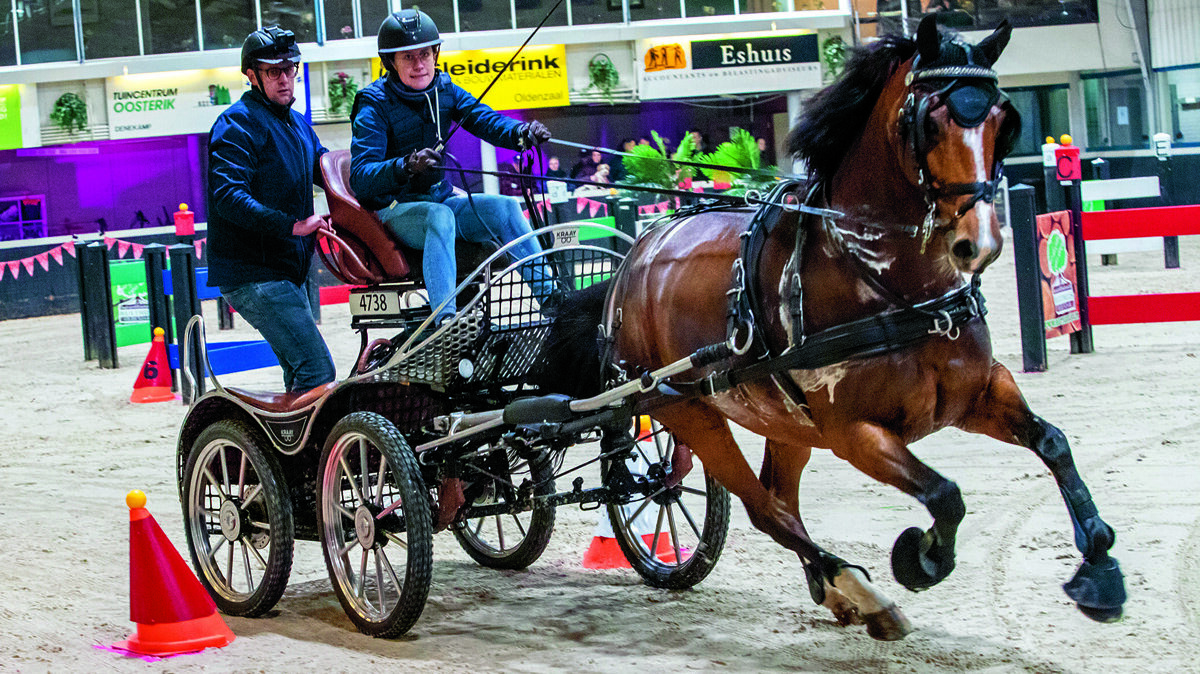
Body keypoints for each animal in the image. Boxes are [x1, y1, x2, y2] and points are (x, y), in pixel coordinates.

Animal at [542, 16, 1126, 640]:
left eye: (1001, 118)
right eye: (930, 120)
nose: (981, 243)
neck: (887, 284)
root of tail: (636, 254)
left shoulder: (979, 392)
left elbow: (1054, 443)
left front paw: (1100, 569)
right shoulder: (854, 433)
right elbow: (946, 496)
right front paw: (920, 559)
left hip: (780, 419)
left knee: (774, 499)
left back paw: (836, 590)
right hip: (692, 411)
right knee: (764, 508)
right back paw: (861, 592)